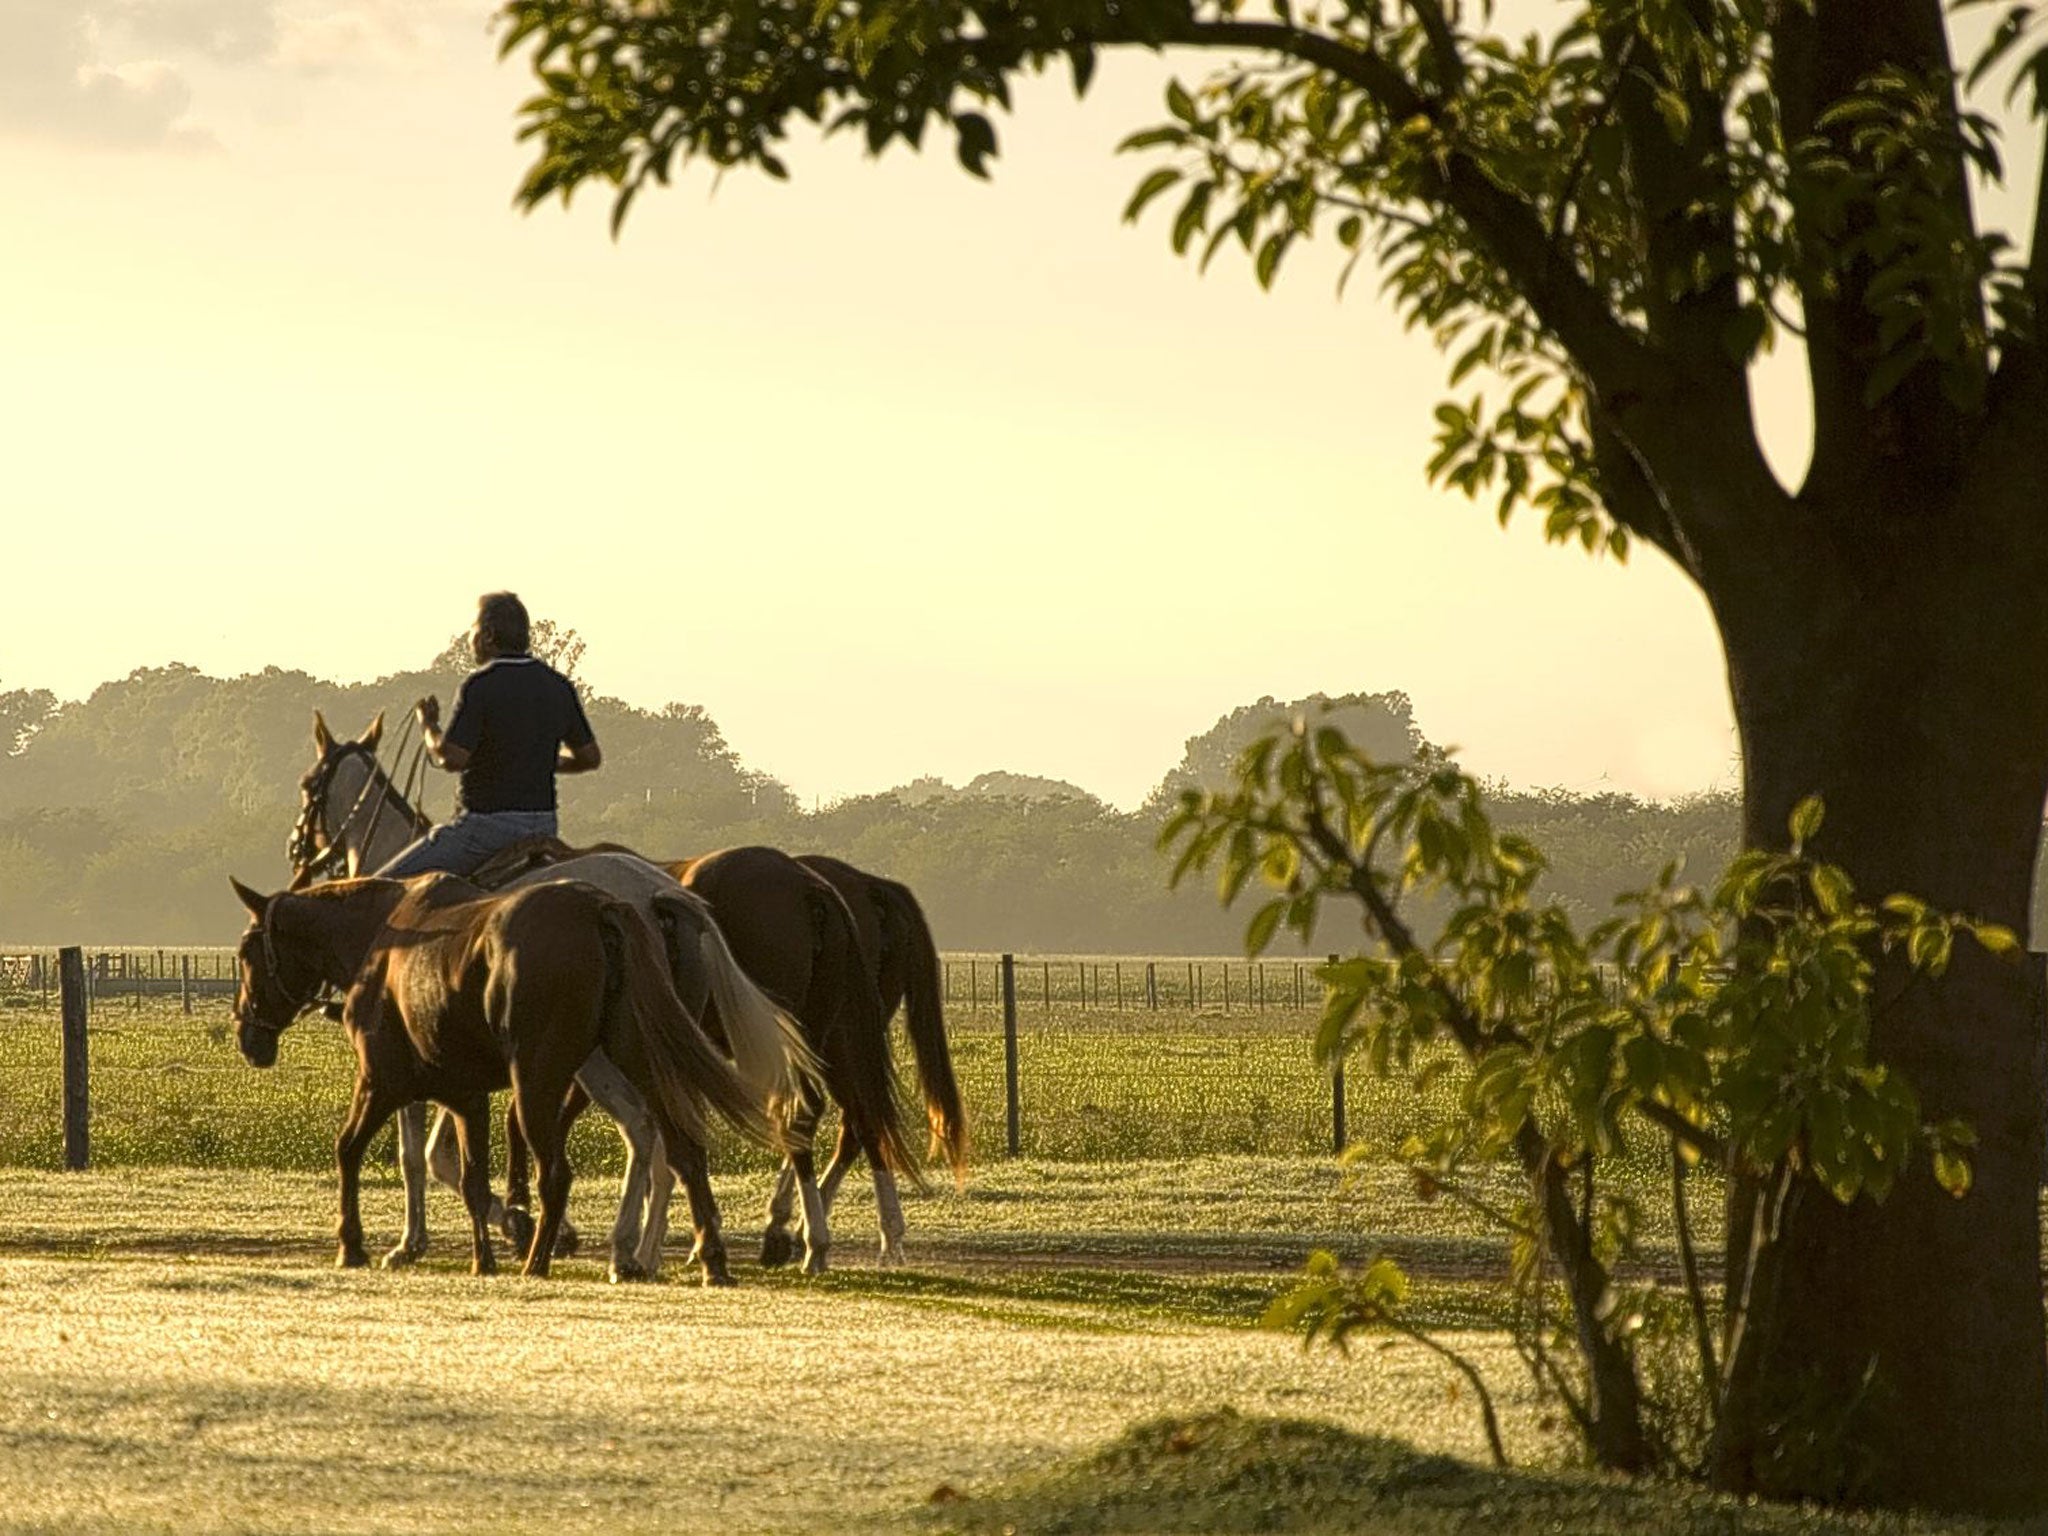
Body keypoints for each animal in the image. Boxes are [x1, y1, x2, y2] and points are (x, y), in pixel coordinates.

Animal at [228, 872, 778, 1277]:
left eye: (246, 953)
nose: (247, 1035)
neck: (385, 938)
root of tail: (601, 909)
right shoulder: (465, 1097)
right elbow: (467, 1177)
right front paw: (481, 1256)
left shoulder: (380, 1081)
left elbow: (350, 1150)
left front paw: (354, 1244)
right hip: (640, 1062)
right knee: (682, 1151)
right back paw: (705, 1257)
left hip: (540, 1082)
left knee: (561, 1172)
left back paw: (548, 1257)